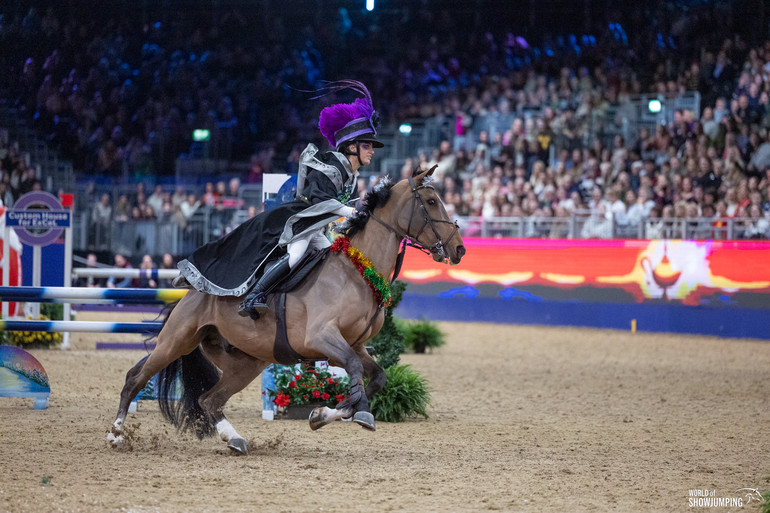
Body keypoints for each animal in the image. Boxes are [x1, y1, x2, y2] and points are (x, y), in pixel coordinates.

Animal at [106, 166, 462, 454]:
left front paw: (324, 415)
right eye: (431, 202)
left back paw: (235, 440)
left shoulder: (354, 345)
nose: (459, 249)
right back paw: (115, 434)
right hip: (176, 341)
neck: (359, 271)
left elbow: (375, 377)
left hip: (246, 363)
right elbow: (355, 372)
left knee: (210, 399)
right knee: (135, 378)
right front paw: (353, 412)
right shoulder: (322, 338)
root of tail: (191, 293)